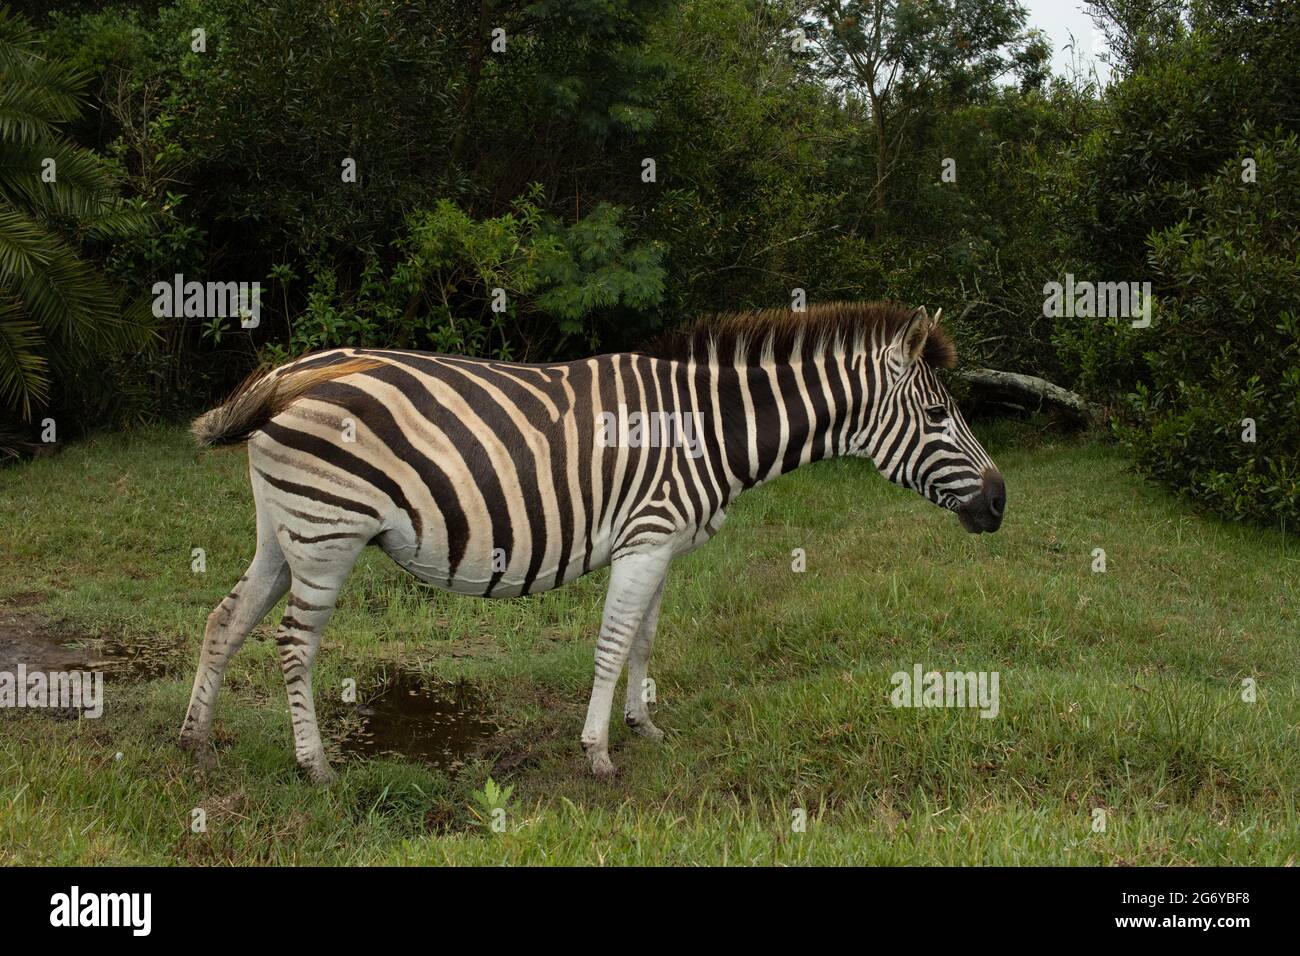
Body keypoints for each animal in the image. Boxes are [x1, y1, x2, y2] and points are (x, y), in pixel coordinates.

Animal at [178, 303, 1003, 780]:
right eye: (938, 416)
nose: (999, 502)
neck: (709, 429)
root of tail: (286, 371)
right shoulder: (645, 538)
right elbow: (611, 646)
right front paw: (599, 752)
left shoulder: (661, 545)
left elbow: (643, 641)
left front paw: (645, 725)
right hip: (329, 532)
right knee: (293, 644)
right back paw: (314, 766)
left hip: (285, 527)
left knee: (224, 619)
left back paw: (195, 741)